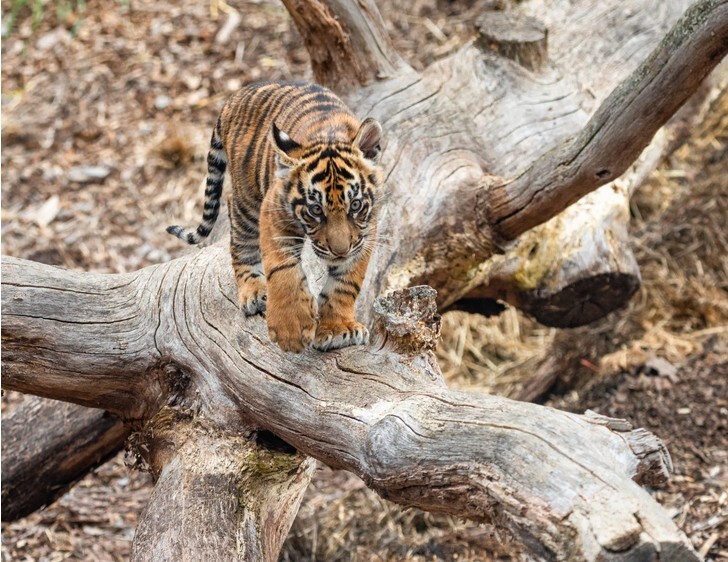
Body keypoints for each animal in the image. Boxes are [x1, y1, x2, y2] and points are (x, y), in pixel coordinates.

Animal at [164, 80, 382, 350]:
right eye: (315, 210)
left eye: (355, 205)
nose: (339, 252)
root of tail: (236, 97)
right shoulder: (273, 212)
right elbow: (283, 268)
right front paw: (291, 327)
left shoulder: (365, 234)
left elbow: (346, 283)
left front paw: (337, 329)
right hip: (247, 202)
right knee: (240, 238)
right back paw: (254, 292)